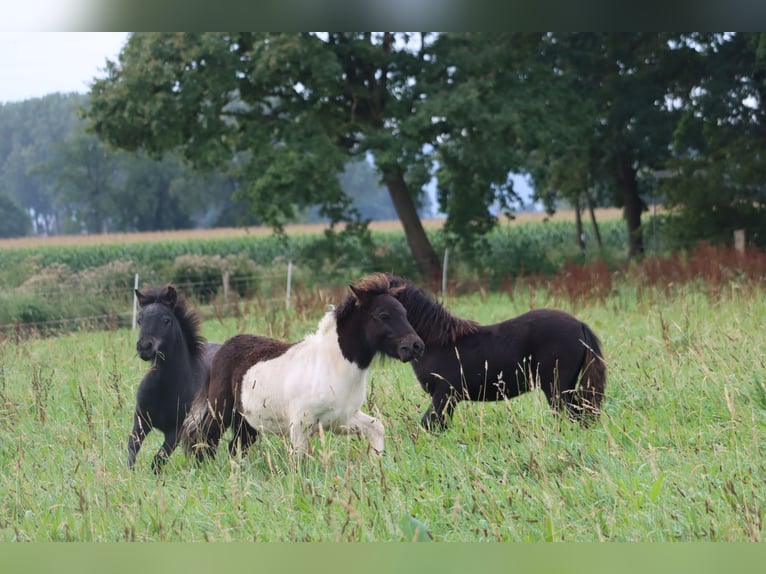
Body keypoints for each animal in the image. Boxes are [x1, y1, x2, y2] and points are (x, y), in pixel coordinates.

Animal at [129, 286, 219, 474]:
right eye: (140, 320)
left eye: (166, 320)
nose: (144, 347)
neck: (164, 388)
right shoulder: (140, 421)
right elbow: (132, 448)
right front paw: (129, 474)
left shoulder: (176, 431)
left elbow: (158, 460)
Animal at [388, 274, 608, 432]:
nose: (410, 348)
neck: (439, 341)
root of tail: (580, 324)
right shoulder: (447, 397)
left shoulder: (444, 393)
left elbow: (430, 425)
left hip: (557, 387)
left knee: (572, 415)